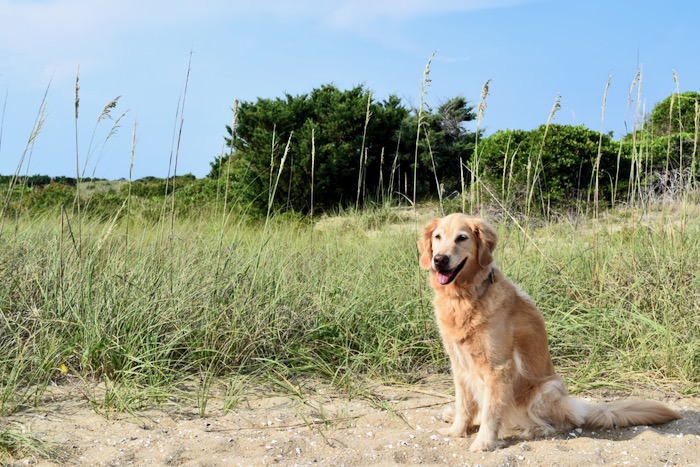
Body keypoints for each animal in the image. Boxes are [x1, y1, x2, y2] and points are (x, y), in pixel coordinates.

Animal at [418, 214, 680, 452]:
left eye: (462, 238)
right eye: (438, 237)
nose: (439, 259)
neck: (466, 297)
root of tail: (575, 404)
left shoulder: (498, 367)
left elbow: (492, 411)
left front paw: (483, 443)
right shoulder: (459, 364)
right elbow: (464, 405)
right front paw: (456, 431)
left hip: (544, 391)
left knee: (558, 423)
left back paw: (534, 429)